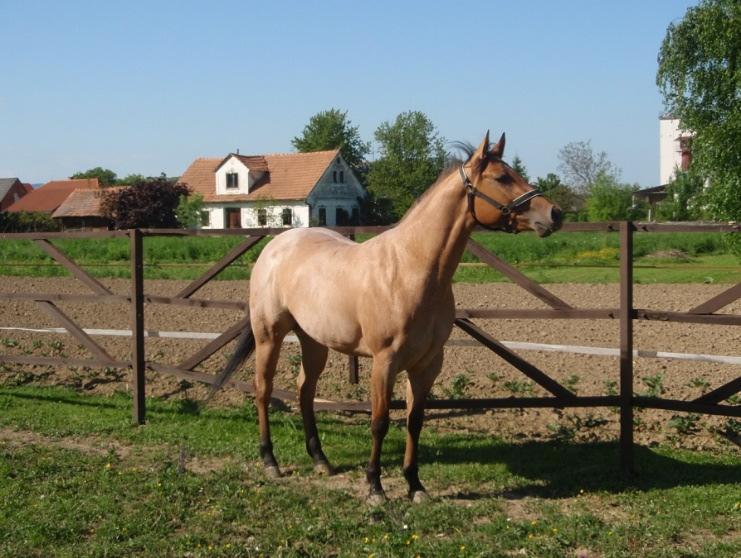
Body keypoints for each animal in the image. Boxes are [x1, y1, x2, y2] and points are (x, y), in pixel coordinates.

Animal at [231, 133, 560, 506]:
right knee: (263, 390)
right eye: (502, 177)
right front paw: (375, 486)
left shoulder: (428, 364)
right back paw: (270, 461)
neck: (410, 268)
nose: (554, 213)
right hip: (269, 336)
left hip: (314, 341)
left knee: (304, 392)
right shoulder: (384, 361)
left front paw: (415, 485)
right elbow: (380, 422)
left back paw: (320, 460)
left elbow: (415, 421)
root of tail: (276, 246)